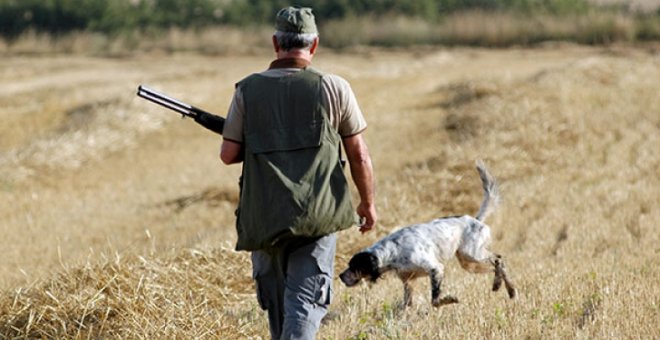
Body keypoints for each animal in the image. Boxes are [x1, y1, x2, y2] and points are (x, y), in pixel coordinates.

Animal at [340, 161, 516, 306]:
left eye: (354, 266)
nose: (341, 276)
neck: (393, 252)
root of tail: (476, 219)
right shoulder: (408, 282)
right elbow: (406, 304)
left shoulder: (435, 268)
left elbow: (435, 300)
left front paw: (449, 300)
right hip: (468, 263)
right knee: (496, 264)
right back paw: (506, 288)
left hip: (472, 254)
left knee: (498, 259)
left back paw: (504, 286)